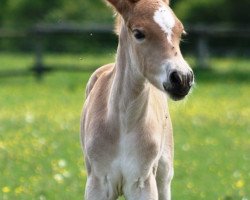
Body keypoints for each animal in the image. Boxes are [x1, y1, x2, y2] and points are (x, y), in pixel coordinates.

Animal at [81, 0, 194, 199]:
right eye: (138, 33)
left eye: (181, 33)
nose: (182, 78)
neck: (124, 123)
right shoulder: (97, 183)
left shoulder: (143, 182)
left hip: (164, 174)